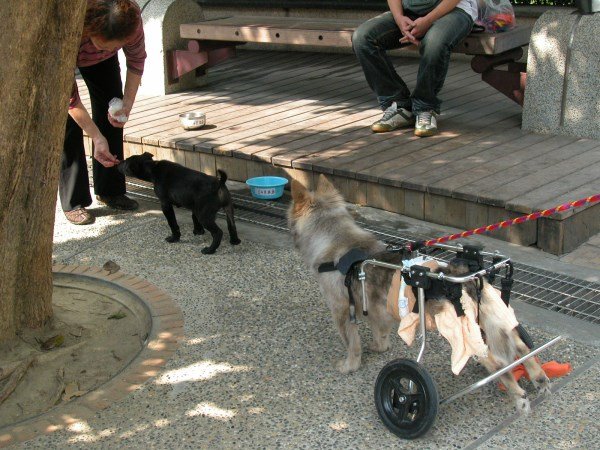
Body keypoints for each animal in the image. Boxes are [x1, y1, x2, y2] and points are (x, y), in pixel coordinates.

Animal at [288, 174, 552, 414]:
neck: (337, 243)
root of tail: (469, 276)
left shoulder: (342, 312)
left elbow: (352, 344)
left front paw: (349, 365)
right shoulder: (376, 311)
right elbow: (380, 334)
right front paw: (379, 347)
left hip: (465, 334)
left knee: (498, 363)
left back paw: (518, 395)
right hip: (491, 323)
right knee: (521, 347)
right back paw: (538, 377)